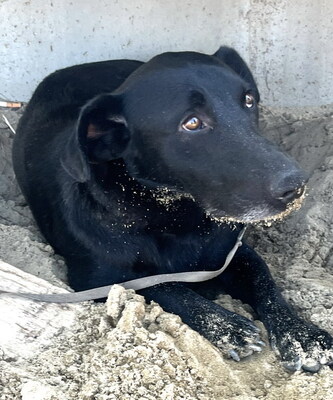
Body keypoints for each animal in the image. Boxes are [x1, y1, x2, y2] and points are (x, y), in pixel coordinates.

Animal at [11, 47, 330, 372]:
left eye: (249, 100)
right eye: (192, 122)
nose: (296, 187)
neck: (177, 218)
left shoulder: (235, 253)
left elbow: (266, 283)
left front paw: (302, 336)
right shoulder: (98, 278)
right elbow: (166, 287)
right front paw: (226, 326)